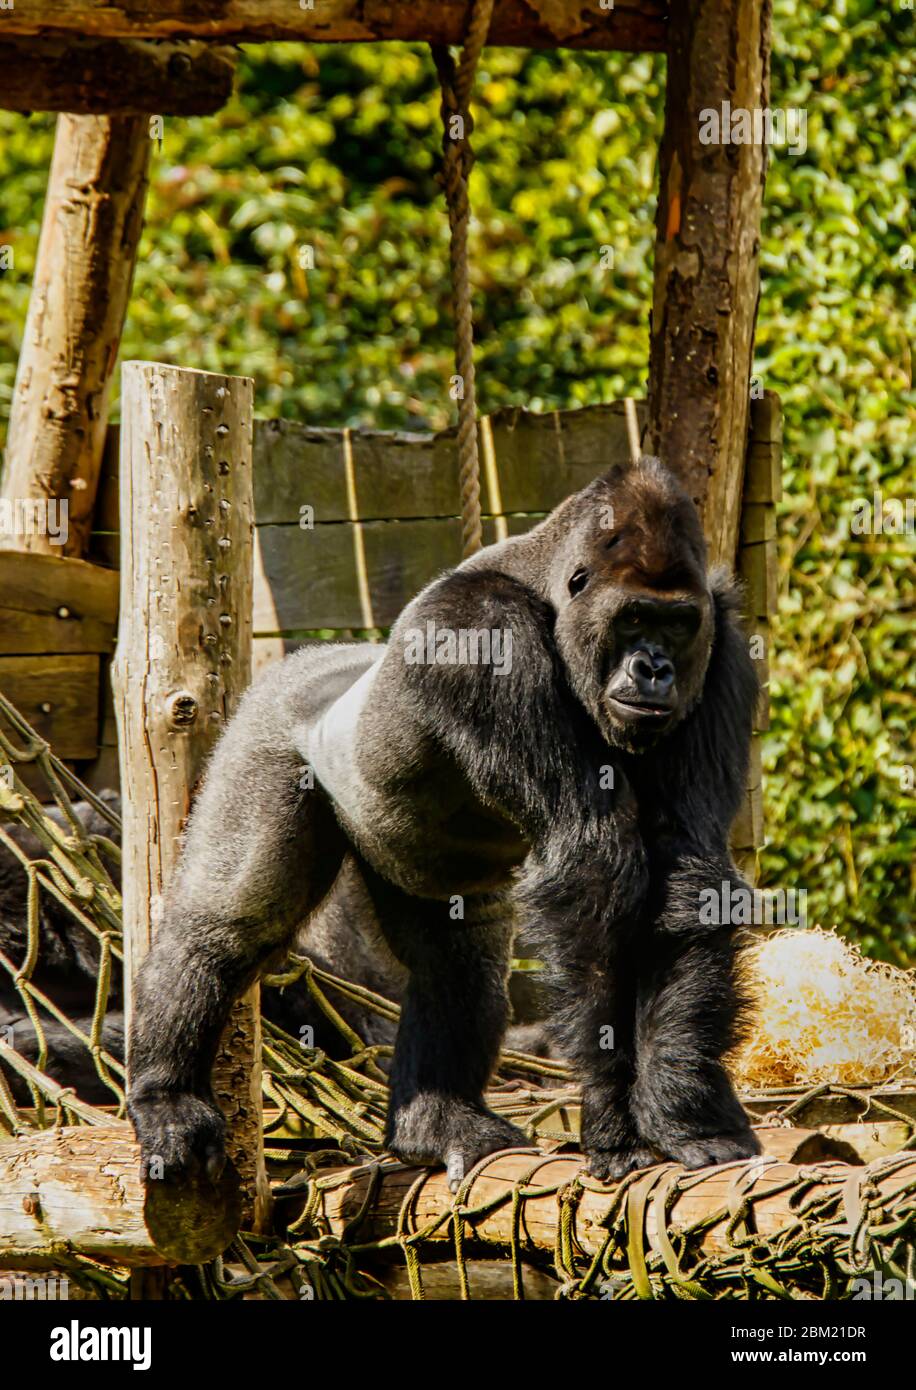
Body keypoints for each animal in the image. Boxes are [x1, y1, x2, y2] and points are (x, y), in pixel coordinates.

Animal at [127, 455, 761, 1184]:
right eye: (632, 620)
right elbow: (592, 860)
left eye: (677, 626)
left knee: (457, 958)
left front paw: (683, 1107)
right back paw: (166, 1095)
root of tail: (308, 662)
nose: (654, 669)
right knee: (227, 925)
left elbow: (686, 867)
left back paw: (434, 1121)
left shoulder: (723, 644)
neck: (547, 585)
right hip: (265, 733)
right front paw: (612, 1120)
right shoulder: (483, 631)